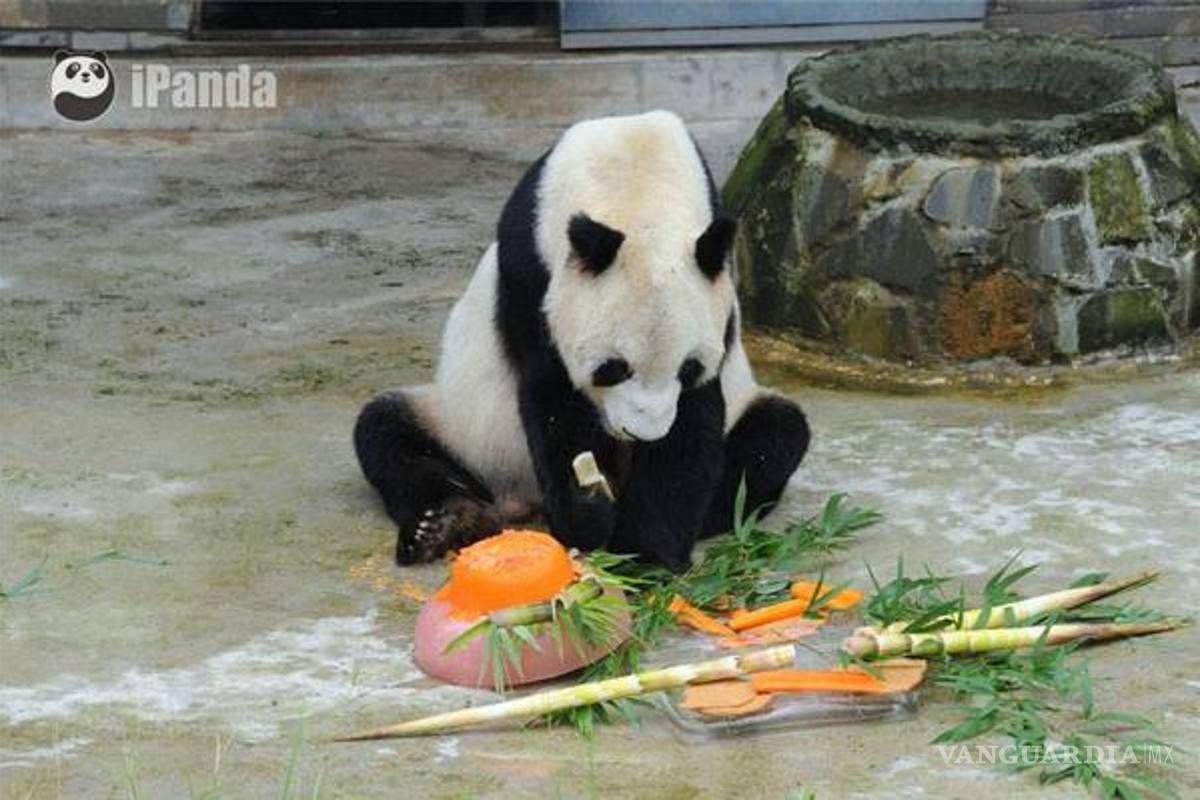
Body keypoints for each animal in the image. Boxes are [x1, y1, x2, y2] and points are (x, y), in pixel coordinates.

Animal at [355, 110, 810, 571]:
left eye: (687, 369)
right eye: (613, 368)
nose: (642, 434)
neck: (636, 185)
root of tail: (518, 501)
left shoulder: (719, 302)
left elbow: (694, 423)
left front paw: (645, 553)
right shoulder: (532, 273)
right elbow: (552, 394)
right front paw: (587, 513)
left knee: (776, 436)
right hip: (464, 429)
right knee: (386, 435)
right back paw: (446, 522)